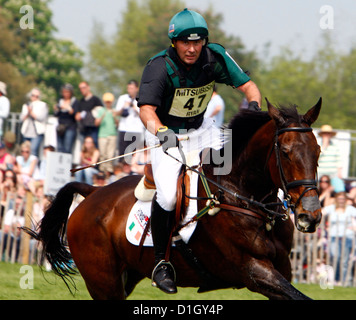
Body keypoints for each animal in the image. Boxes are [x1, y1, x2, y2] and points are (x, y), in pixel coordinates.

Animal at [25, 98, 322, 300]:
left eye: (318, 151)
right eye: (285, 152)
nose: (310, 216)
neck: (240, 194)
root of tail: (93, 192)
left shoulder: (282, 270)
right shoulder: (253, 270)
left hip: (127, 276)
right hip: (104, 284)